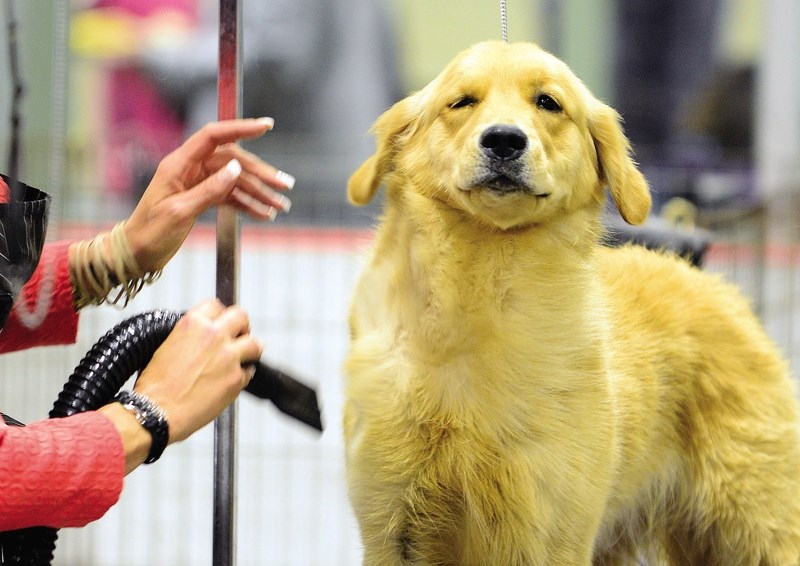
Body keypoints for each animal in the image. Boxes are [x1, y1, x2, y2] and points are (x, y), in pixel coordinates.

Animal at [340, 41, 800, 566]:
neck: (483, 290)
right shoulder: (393, 526)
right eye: (461, 102)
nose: (504, 140)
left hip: (755, 528)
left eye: (548, 103)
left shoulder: (548, 531)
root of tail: (716, 287)